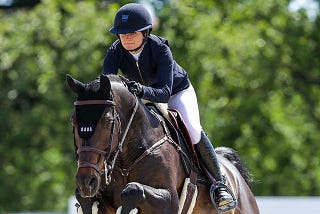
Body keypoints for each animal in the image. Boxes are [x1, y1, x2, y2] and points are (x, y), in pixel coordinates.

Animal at [66, 74, 258, 214]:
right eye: (73, 121)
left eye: (107, 121)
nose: (86, 181)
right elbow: (85, 199)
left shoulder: (170, 201)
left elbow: (133, 190)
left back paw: (222, 195)